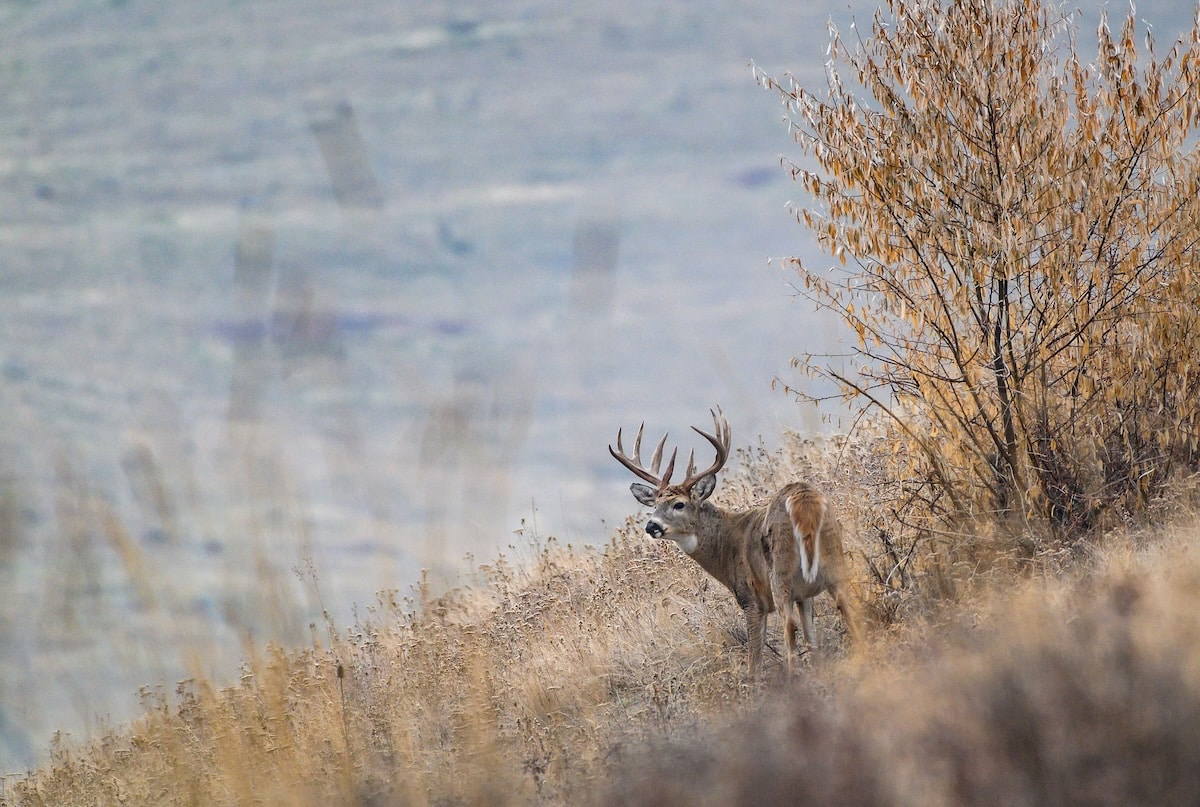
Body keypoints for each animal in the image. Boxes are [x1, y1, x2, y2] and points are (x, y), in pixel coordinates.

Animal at [609, 408, 860, 677]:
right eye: (655, 505)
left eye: (679, 504)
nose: (651, 526)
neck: (726, 543)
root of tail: (803, 501)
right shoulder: (804, 595)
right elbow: (813, 640)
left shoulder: (750, 598)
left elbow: (754, 659)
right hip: (833, 558)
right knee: (846, 604)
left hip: (780, 573)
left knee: (789, 624)